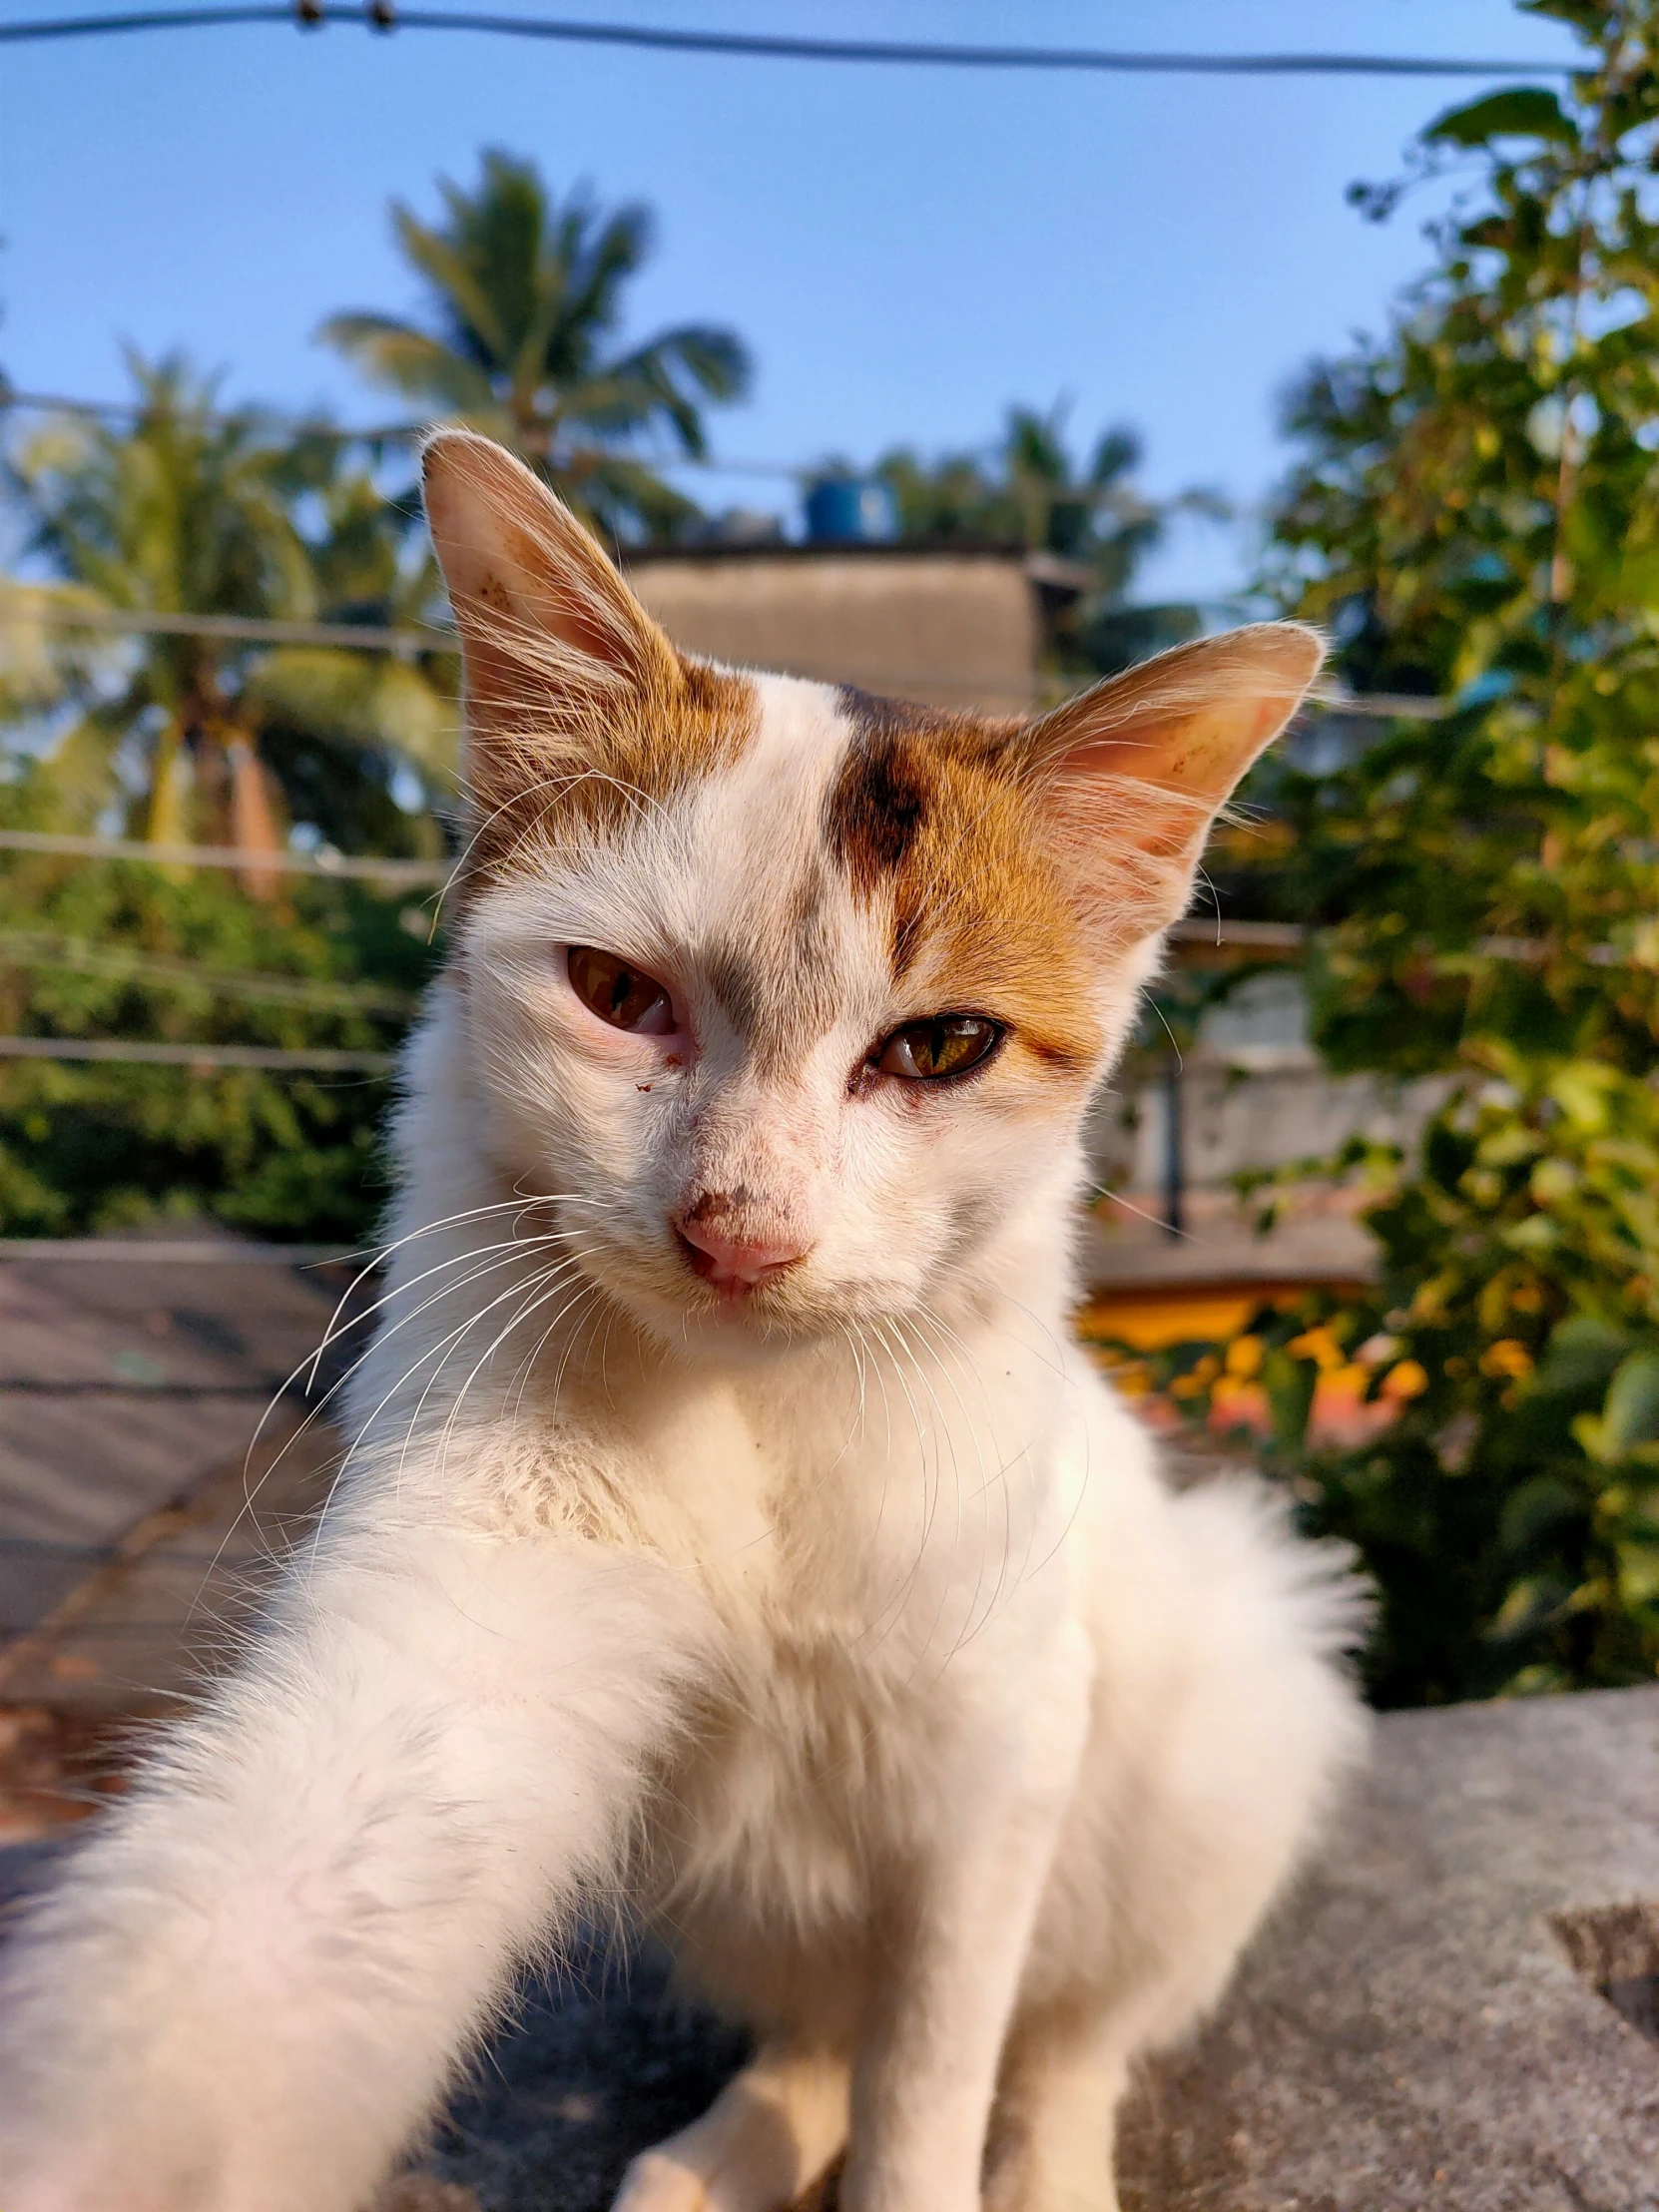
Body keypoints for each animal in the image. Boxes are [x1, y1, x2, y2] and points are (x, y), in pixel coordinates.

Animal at [0, 431, 1363, 2212]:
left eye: (940, 1049)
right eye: (614, 993)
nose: (740, 1231)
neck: (765, 1413)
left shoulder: (999, 1758)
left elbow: (935, 2063)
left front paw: (939, 2168)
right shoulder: (476, 1578)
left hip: (1229, 1724)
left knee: (1071, 2033)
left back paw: (1046, 2160)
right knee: (816, 2028)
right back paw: (732, 2146)